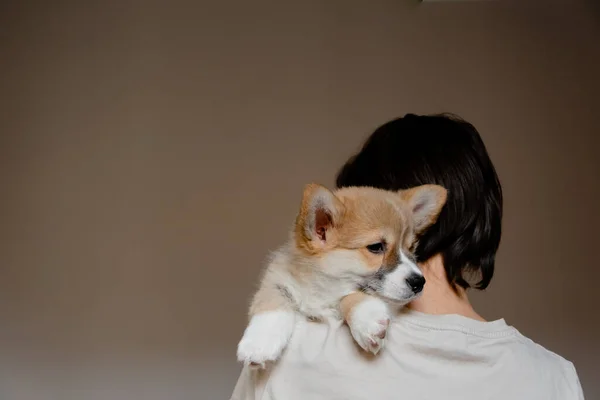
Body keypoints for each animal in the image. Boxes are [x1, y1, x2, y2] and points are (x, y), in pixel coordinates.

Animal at [237, 183, 448, 368]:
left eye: (411, 248)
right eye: (376, 247)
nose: (419, 282)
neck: (320, 291)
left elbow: (348, 296)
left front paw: (367, 318)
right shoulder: (278, 277)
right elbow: (272, 300)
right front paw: (259, 342)